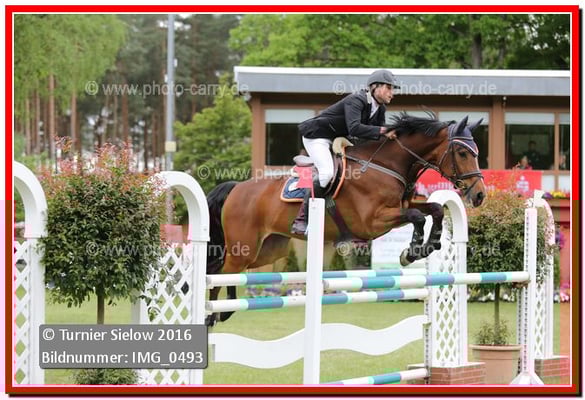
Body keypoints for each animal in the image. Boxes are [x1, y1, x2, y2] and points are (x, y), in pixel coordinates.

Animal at [205, 112, 486, 326]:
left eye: (476, 152)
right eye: (463, 153)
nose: (480, 195)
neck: (386, 165)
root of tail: (236, 188)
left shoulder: (402, 207)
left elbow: (435, 209)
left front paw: (429, 245)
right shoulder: (372, 222)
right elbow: (418, 217)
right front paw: (412, 251)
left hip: (266, 250)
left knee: (225, 270)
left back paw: (224, 311)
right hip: (244, 247)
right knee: (221, 271)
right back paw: (212, 315)